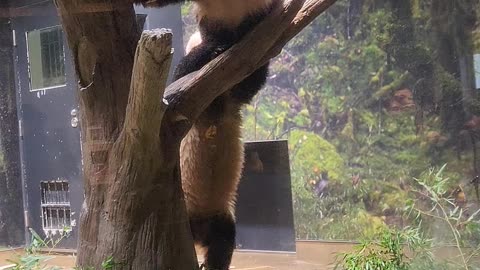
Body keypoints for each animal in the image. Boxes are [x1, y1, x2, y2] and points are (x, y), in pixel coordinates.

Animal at [133, 1, 280, 268]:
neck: (216, 102)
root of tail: (199, 231)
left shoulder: (233, 97)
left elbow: (250, 81)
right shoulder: (191, 98)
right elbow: (181, 75)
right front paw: (211, 50)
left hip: (219, 218)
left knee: (224, 240)